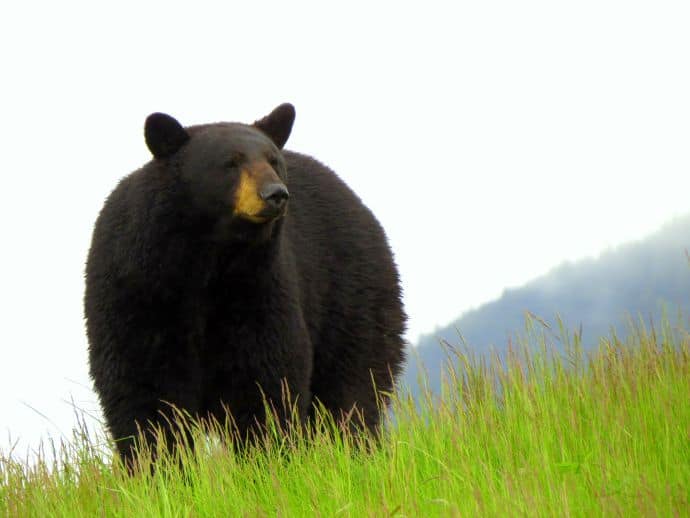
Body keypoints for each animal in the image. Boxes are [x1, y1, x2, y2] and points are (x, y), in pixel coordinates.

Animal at [84, 104, 406, 468]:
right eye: (230, 162)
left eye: (273, 159)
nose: (276, 194)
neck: (206, 261)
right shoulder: (136, 292)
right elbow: (145, 392)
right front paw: (159, 469)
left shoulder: (257, 289)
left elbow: (263, 380)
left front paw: (265, 461)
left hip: (353, 297)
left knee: (353, 389)